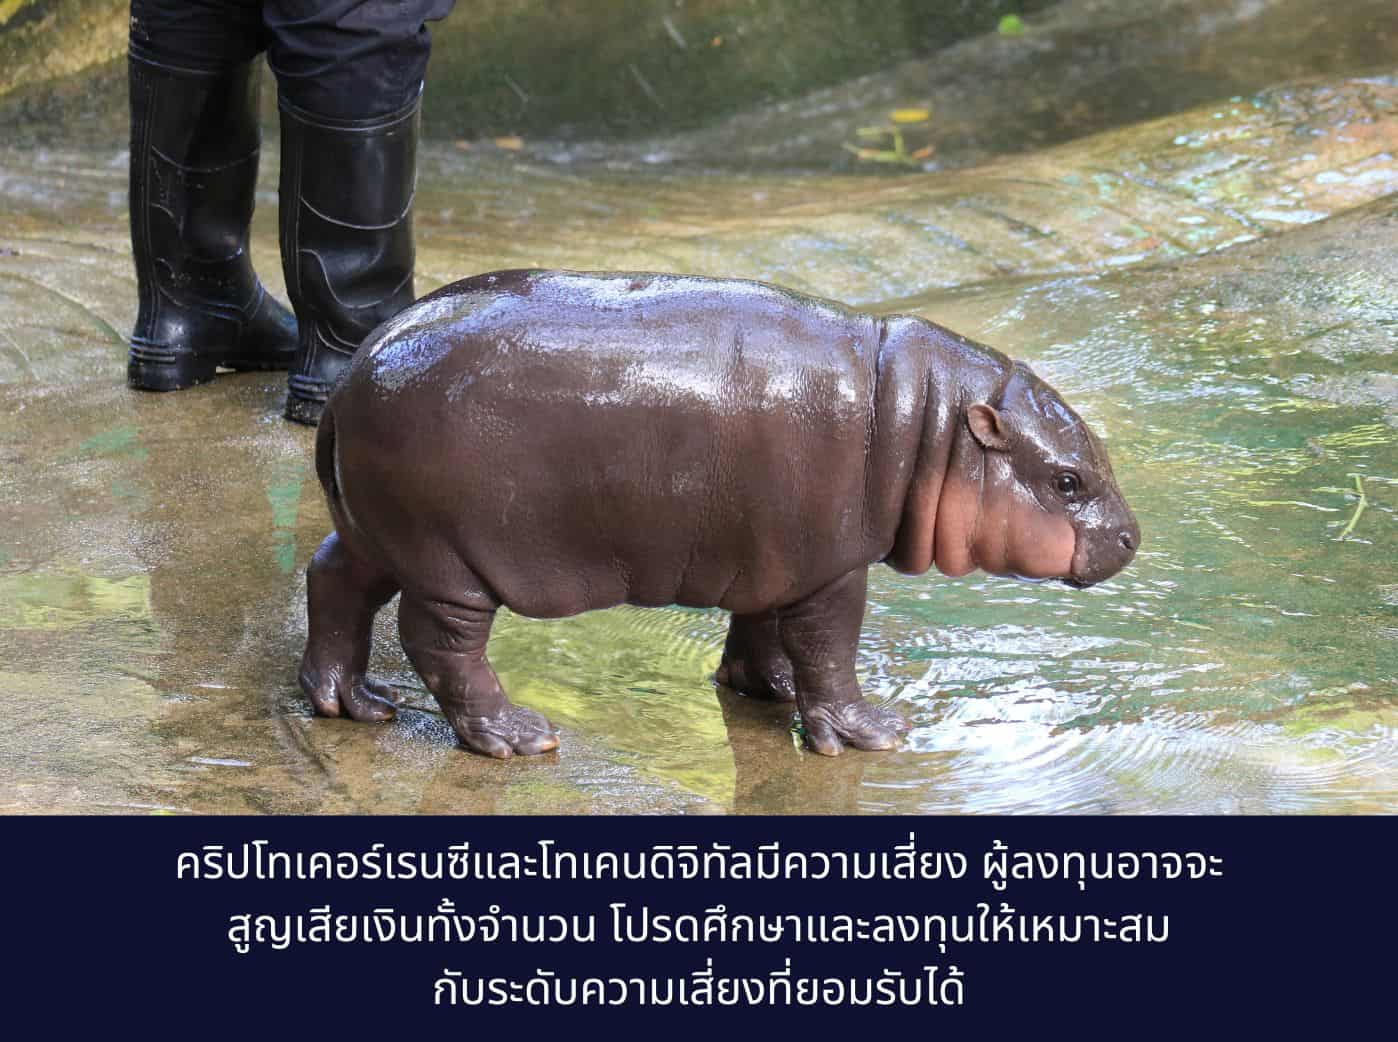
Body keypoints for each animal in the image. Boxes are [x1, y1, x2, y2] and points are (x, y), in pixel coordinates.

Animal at [298, 269, 1139, 758]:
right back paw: (519, 738)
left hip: (378, 532)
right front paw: (872, 732)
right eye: (1066, 481)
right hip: (449, 562)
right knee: (439, 644)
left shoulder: (775, 557)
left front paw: (768, 689)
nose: (1132, 536)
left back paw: (352, 705)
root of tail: (354, 373)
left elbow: (764, 628)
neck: (922, 421)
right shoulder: (830, 566)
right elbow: (830, 648)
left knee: (333, 578)